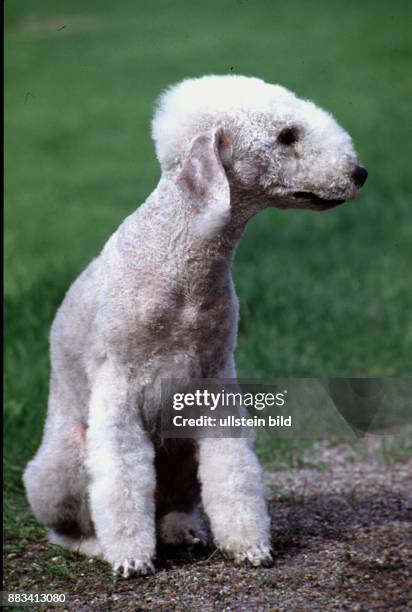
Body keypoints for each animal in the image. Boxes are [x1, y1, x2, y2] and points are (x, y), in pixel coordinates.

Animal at [22, 74, 366, 576]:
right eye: (286, 136)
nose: (360, 173)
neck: (179, 260)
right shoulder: (119, 388)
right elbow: (121, 480)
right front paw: (131, 559)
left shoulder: (215, 384)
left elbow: (232, 472)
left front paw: (249, 547)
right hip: (62, 466)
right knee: (67, 527)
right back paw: (97, 546)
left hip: (181, 450)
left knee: (171, 506)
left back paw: (183, 531)